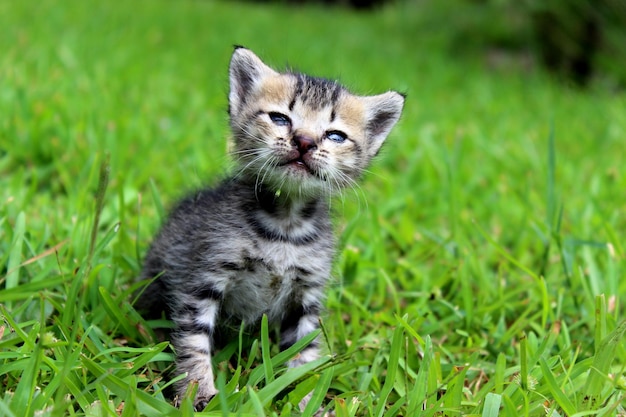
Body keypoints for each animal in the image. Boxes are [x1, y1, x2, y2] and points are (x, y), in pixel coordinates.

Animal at [135, 46, 404, 410]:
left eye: (335, 136)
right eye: (280, 119)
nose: (304, 141)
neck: (285, 226)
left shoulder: (306, 296)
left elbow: (304, 354)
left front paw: (307, 402)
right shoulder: (204, 278)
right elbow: (193, 340)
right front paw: (198, 392)